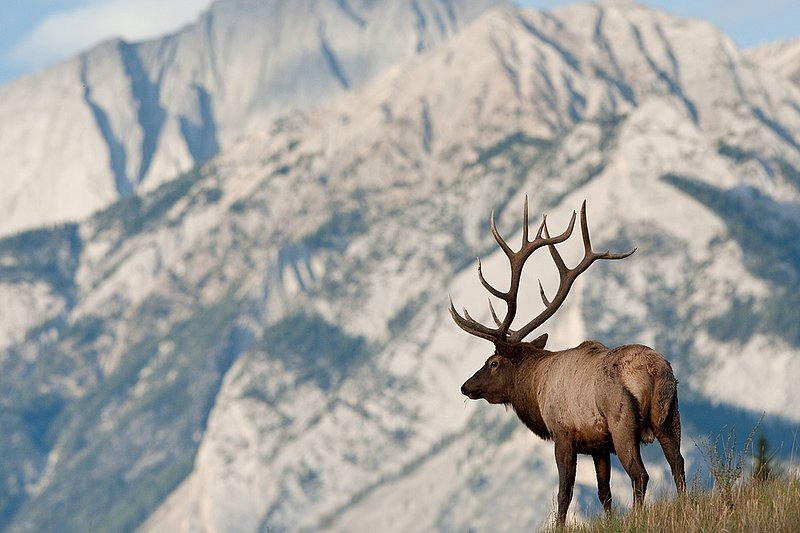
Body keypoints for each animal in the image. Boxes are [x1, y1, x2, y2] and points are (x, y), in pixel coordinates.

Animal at [450, 197, 686, 525]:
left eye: (493, 362)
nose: (466, 386)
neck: (535, 389)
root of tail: (654, 371)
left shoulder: (563, 434)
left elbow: (565, 493)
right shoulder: (598, 445)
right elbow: (604, 493)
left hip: (622, 423)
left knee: (640, 474)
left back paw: (638, 516)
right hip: (670, 416)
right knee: (678, 463)